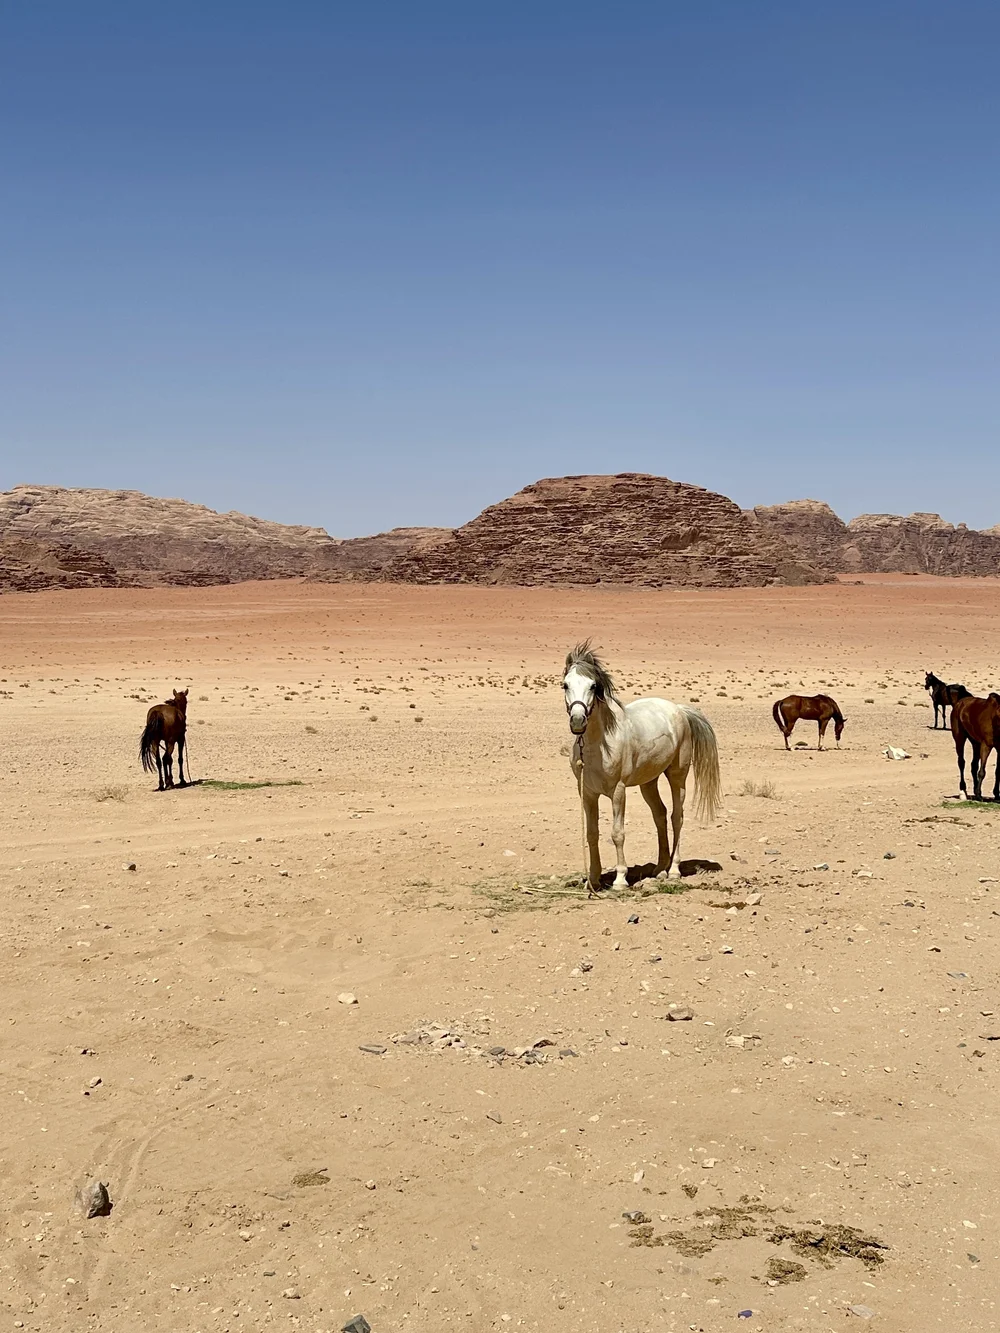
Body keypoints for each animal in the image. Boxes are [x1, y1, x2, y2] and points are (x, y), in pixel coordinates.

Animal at [563, 643, 721, 894]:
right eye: (565, 684)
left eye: (593, 685)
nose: (578, 721)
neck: (599, 745)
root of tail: (679, 709)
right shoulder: (587, 793)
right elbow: (592, 833)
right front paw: (594, 880)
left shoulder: (618, 791)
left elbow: (617, 834)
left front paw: (620, 879)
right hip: (649, 782)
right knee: (660, 815)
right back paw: (660, 869)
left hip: (678, 776)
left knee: (677, 817)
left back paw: (674, 870)